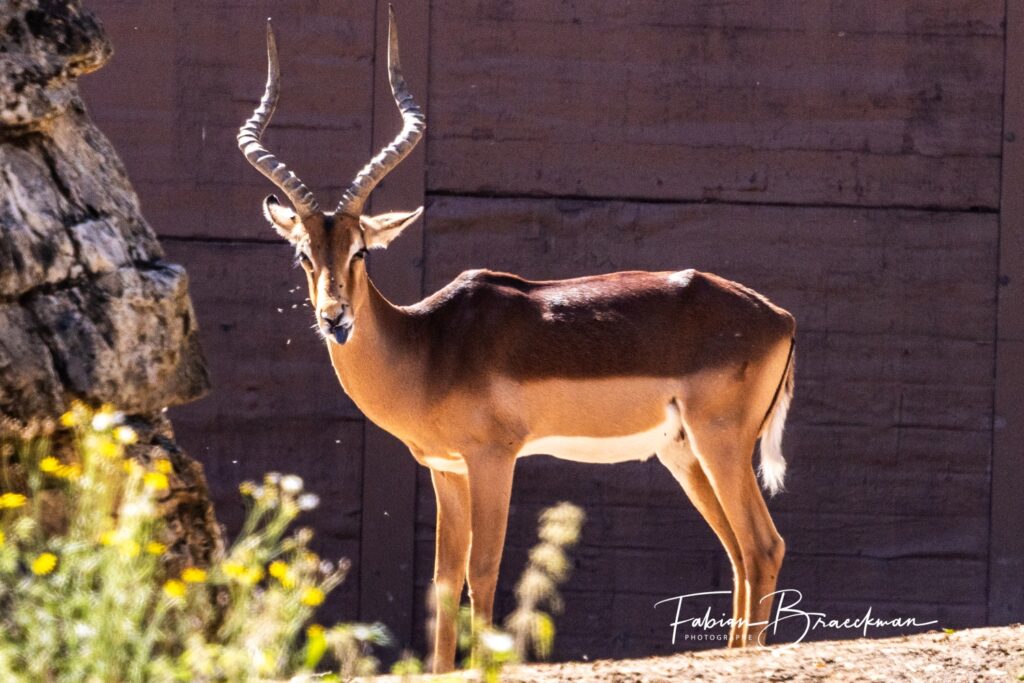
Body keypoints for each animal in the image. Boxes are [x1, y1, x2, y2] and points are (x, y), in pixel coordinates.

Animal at [238, 9, 796, 672]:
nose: (335, 319)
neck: (428, 348)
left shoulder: (493, 459)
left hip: (721, 442)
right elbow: (443, 580)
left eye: (361, 252)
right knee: (738, 550)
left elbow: (482, 570)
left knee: (762, 545)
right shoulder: (446, 470)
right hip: (684, 452)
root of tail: (780, 317)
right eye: (303, 253)